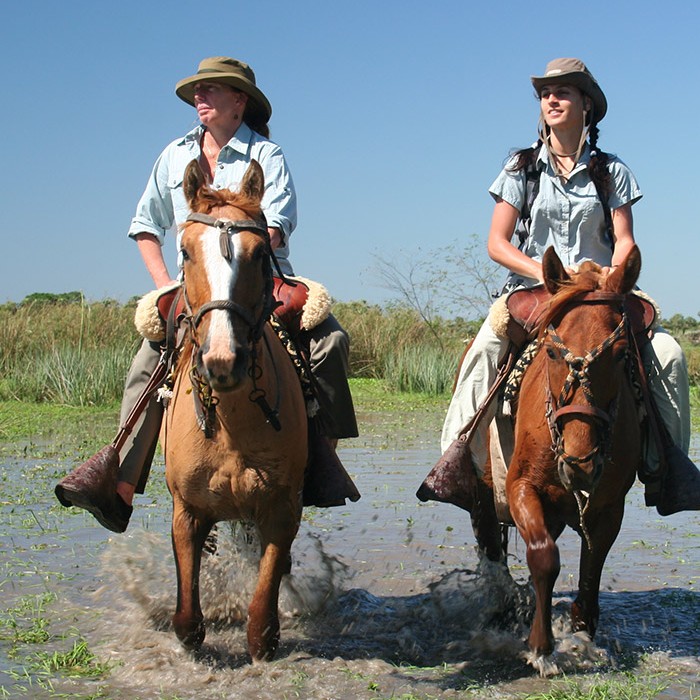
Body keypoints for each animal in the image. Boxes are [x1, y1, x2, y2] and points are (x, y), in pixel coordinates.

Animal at [164, 159, 308, 660]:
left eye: (260, 253)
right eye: (185, 251)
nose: (223, 361)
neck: (232, 427)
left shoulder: (282, 506)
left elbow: (263, 605)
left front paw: (266, 635)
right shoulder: (187, 511)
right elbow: (188, 618)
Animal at [504, 245, 644, 656]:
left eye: (620, 353)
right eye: (551, 352)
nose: (579, 463)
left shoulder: (610, 504)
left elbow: (592, 566)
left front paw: (582, 627)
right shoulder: (519, 485)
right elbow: (543, 556)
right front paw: (540, 643)